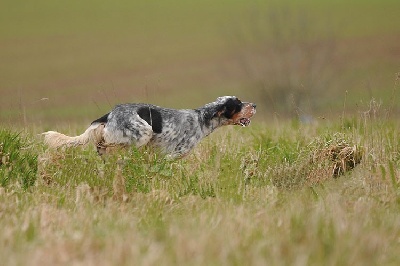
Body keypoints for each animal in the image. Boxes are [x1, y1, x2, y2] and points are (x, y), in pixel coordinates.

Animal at [43, 95, 256, 159]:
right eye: (238, 103)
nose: (254, 105)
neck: (200, 119)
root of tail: (109, 114)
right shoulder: (172, 155)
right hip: (143, 132)